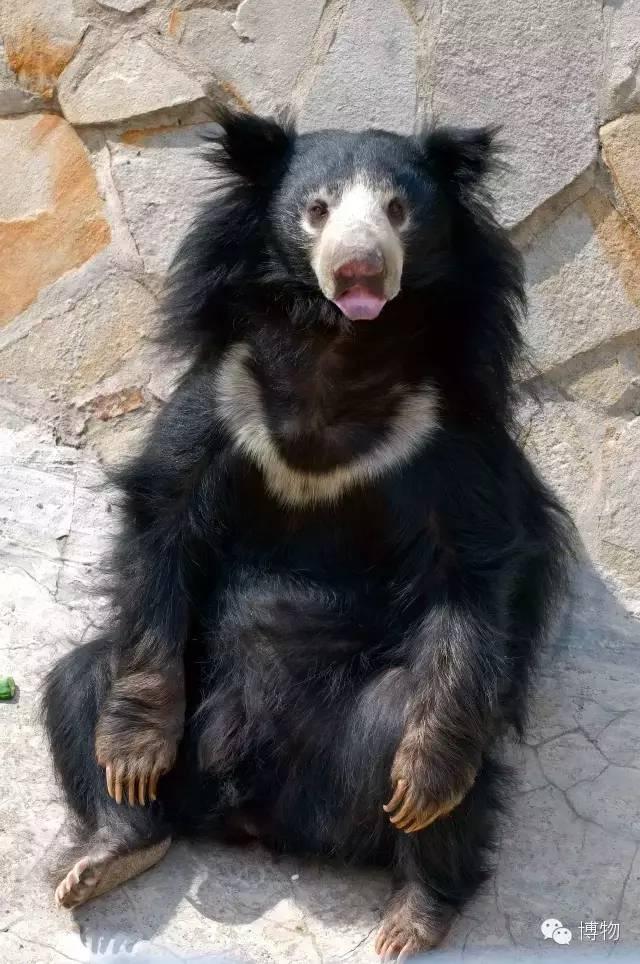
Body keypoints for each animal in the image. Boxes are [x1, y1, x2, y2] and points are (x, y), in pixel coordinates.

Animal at [42, 109, 573, 960]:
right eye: (317, 211)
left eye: (397, 210)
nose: (360, 269)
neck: (340, 349)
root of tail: (257, 820)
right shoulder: (223, 392)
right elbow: (165, 520)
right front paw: (130, 756)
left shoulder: (444, 428)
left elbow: (471, 566)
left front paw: (428, 779)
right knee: (82, 678)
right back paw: (113, 849)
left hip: (354, 760)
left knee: (419, 753)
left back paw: (413, 914)